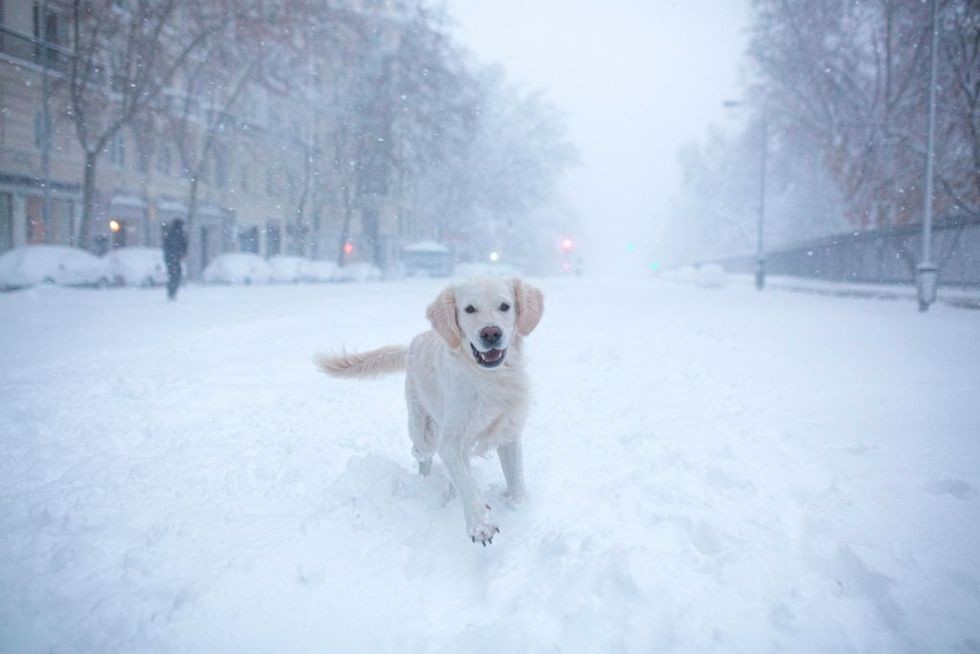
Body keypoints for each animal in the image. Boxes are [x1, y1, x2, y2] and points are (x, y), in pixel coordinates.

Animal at [314, 278, 544, 548]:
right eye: (469, 309)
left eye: (505, 306)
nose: (490, 333)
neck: (489, 378)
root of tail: (411, 345)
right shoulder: (451, 442)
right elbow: (466, 483)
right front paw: (481, 524)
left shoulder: (508, 433)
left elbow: (516, 481)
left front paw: (517, 508)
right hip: (423, 430)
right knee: (420, 453)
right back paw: (425, 481)